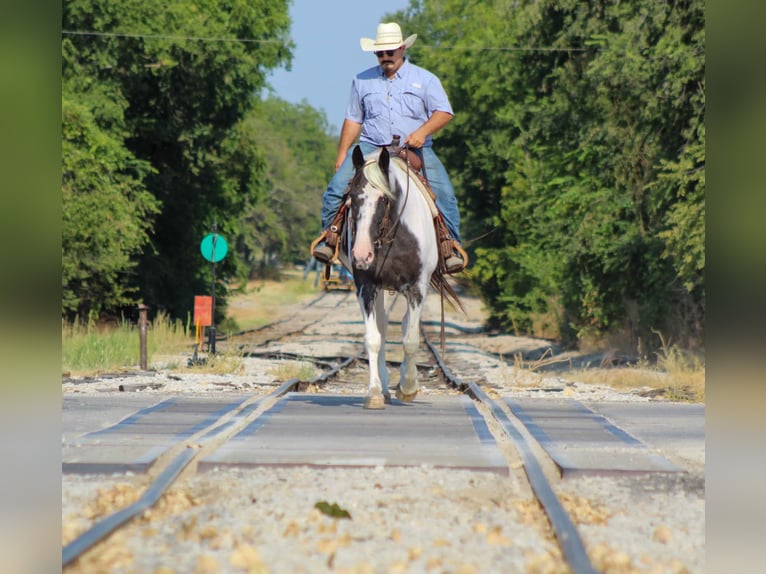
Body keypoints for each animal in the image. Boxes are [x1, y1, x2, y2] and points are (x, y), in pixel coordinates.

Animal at [340, 146, 462, 412]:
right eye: (351, 196)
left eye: (384, 199)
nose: (361, 255)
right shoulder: (366, 287)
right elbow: (374, 338)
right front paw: (375, 393)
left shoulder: (416, 287)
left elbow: (411, 339)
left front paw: (407, 388)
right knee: (384, 326)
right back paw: (385, 388)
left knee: (407, 324)